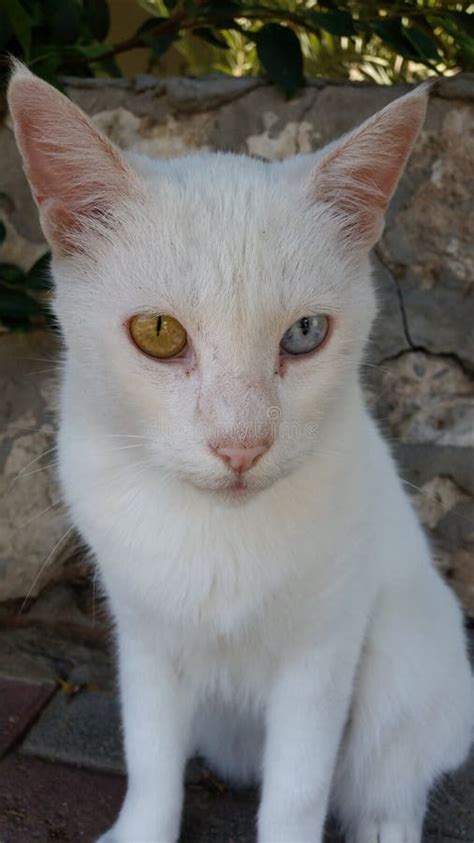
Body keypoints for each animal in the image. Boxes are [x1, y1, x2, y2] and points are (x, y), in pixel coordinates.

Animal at [8, 64, 474, 843]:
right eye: (158, 332)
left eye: (305, 333)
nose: (241, 446)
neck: (215, 535)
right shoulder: (143, 636)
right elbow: (150, 758)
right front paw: (142, 828)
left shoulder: (323, 651)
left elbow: (299, 790)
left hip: (409, 663)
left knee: (390, 780)